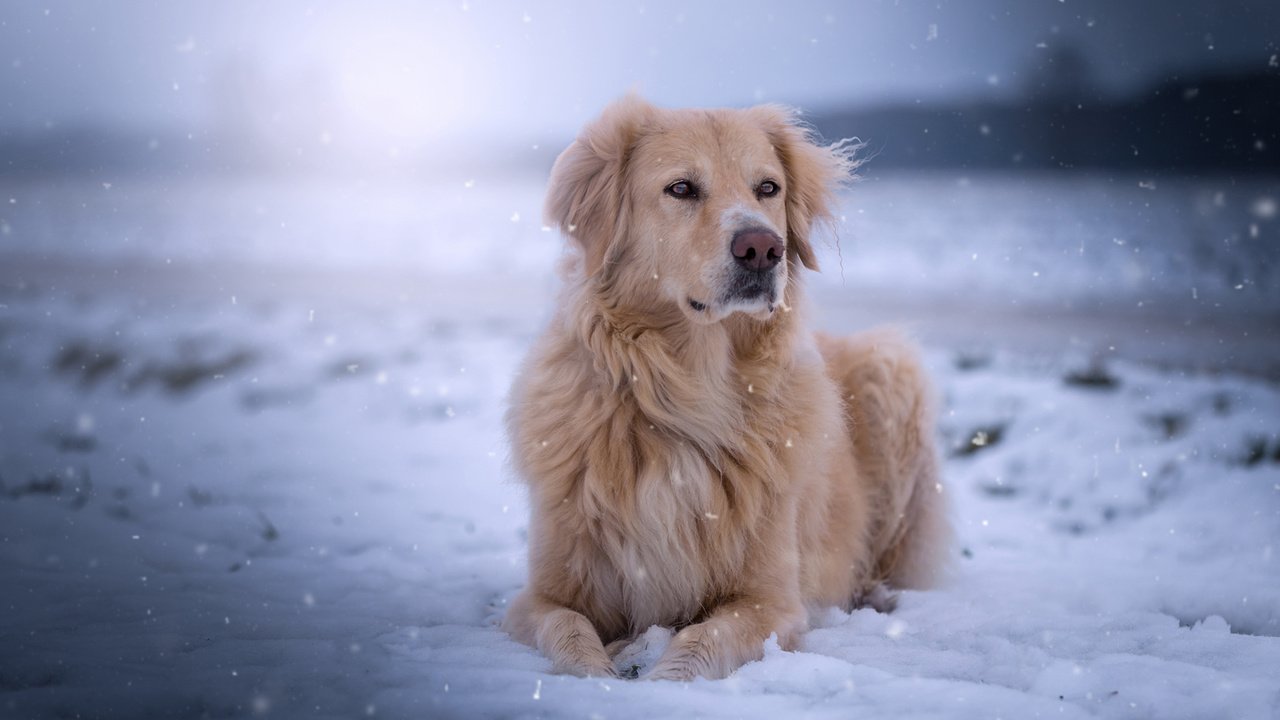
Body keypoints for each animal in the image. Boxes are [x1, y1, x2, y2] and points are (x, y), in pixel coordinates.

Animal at [501, 95, 952, 676]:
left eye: (768, 188)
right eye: (681, 188)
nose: (762, 247)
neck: (688, 390)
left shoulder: (771, 603)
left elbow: (697, 645)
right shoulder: (540, 596)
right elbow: (571, 634)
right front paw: (601, 673)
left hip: (893, 369)